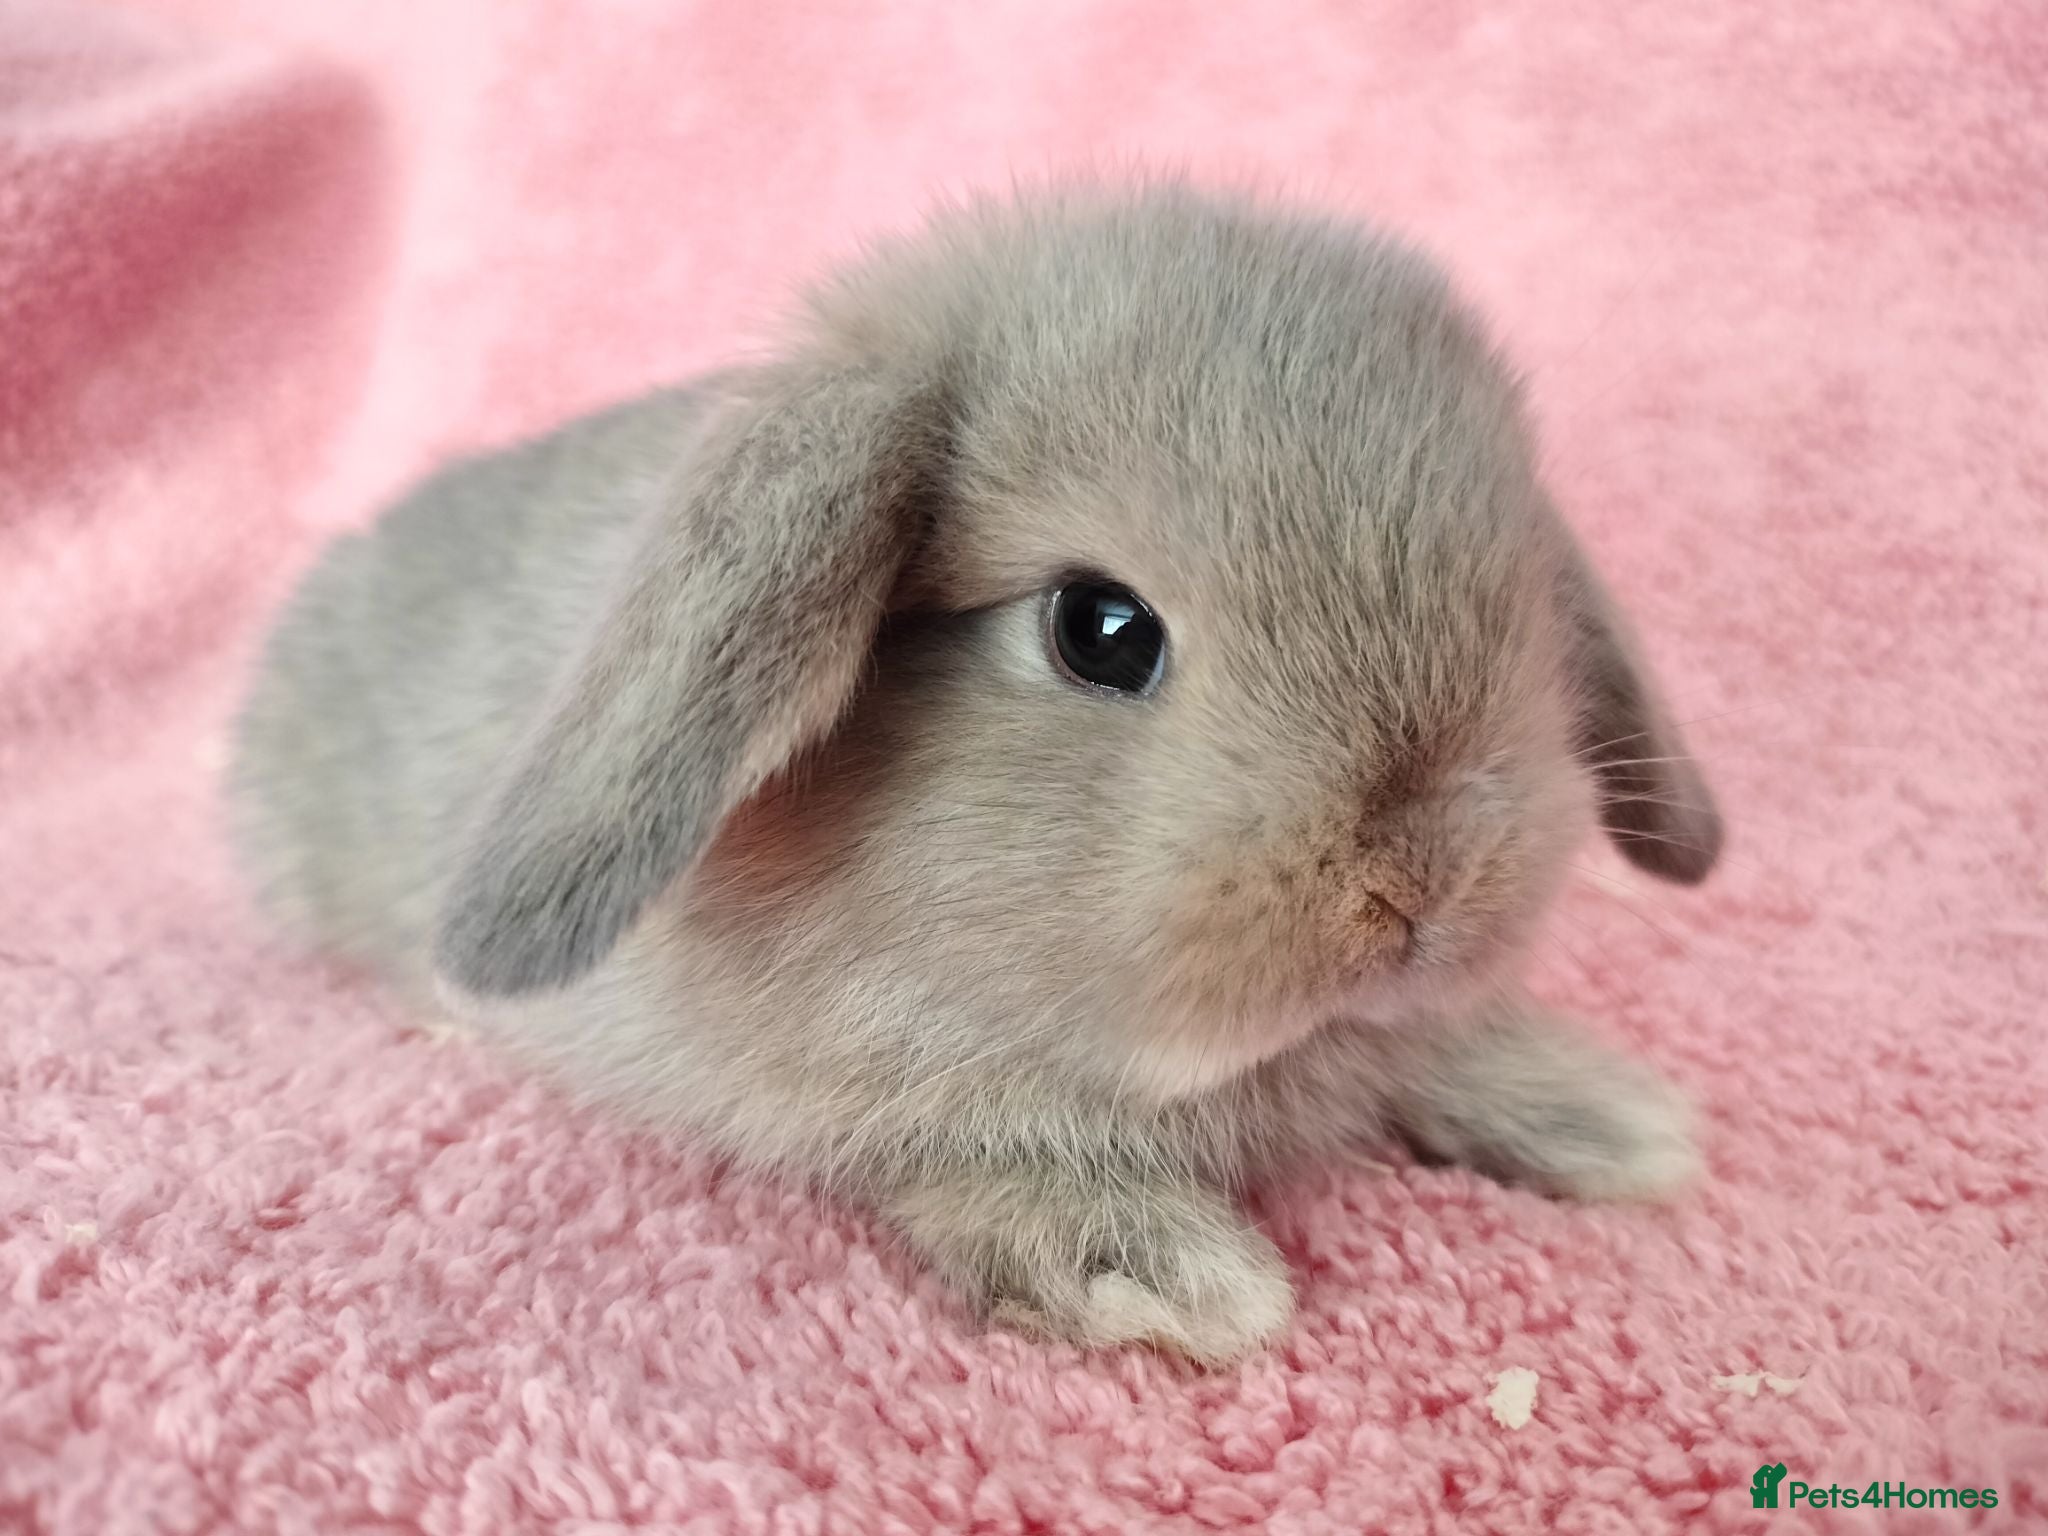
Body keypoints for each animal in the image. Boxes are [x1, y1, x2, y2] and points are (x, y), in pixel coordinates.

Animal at [230, 180, 1723, 1365]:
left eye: (1522, 596)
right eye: (1099, 630)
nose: (1422, 880)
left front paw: (1606, 1117)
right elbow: (967, 1164)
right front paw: (1165, 1278)